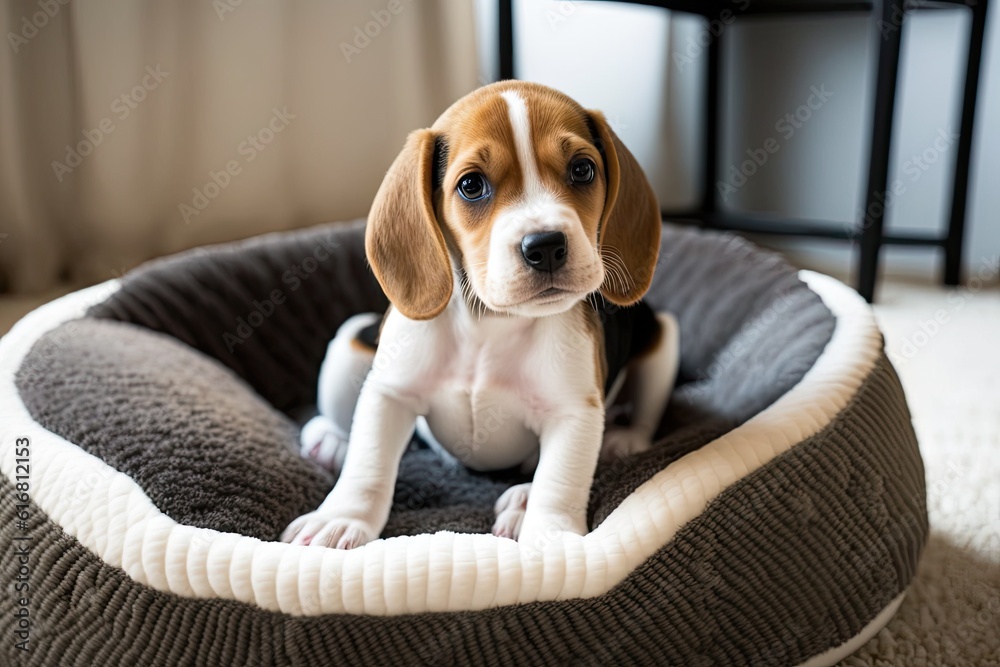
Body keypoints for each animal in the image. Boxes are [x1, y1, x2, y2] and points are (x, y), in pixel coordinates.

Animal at [286, 82, 684, 552]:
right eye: (472, 185)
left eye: (583, 170)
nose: (546, 245)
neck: (492, 323)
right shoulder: (390, 392)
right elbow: (368, 463)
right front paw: (340, 518)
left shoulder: (574, 411)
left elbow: (559, 481)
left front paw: (551, 537)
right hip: (349, 343)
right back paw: (330, 438)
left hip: (663, 337)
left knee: (643, 414)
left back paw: (596, 457)